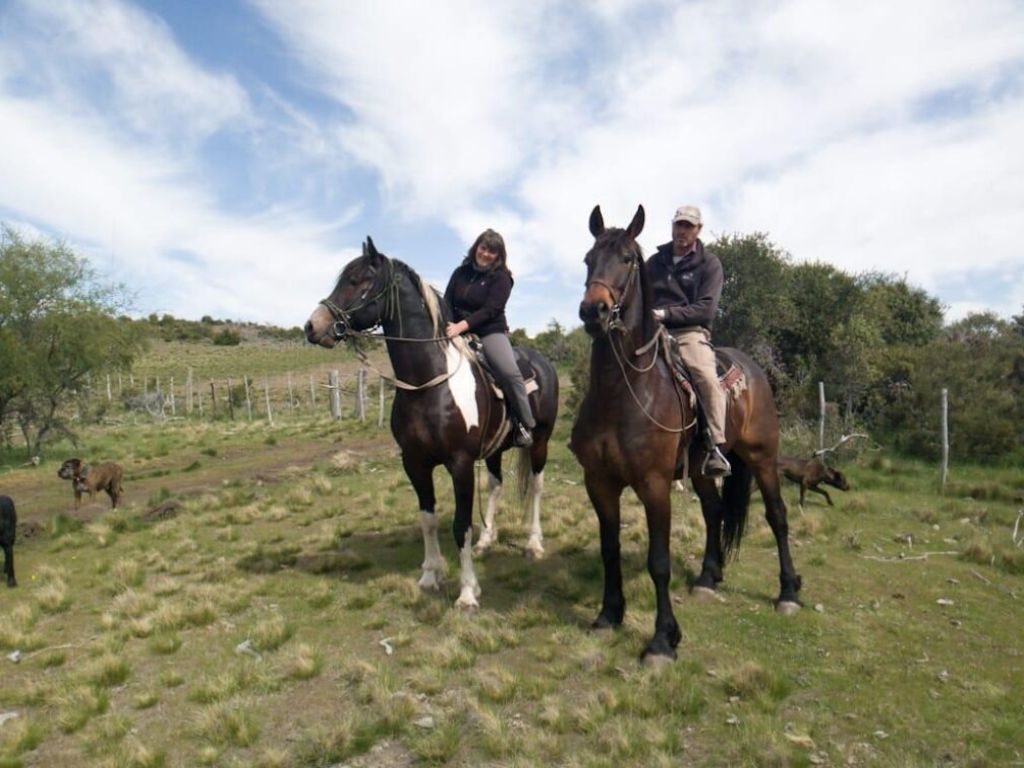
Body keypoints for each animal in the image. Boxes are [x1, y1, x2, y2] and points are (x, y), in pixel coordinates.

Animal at [304, 238, 559, 609]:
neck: (428, 382)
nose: (313, 326)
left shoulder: (460, 464)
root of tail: (543, 362)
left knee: (537, 487)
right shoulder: (414, 462)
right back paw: (487, 541)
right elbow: (428, 519)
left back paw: (534, 544)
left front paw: (467, 592)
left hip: (540, 441)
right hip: (495, 449)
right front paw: (430, 576)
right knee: (495, 485)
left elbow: (460, 525)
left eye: (356, 281)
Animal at [570, 204, 801, 663]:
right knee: (714, 511)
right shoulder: (599, 482)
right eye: (589, 259)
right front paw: (608, 615)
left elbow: (659, 561)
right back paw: (708, 578)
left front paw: (663, 640)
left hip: (763, 458)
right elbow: (609, 549)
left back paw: (788, 592)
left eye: (628, 259)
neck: (622, 392)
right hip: (700, 470)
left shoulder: (654, 484)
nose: (594, 311)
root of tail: (754, 369)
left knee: (777, 516)